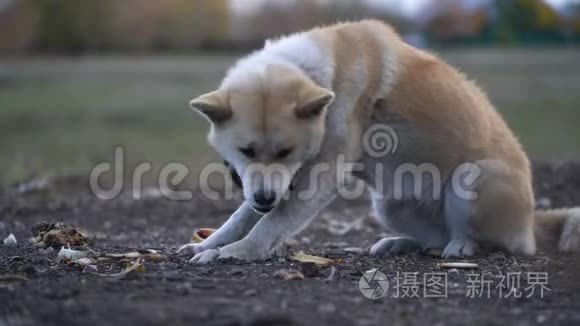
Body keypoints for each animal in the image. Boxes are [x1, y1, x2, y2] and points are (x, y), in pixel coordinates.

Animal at [178, 20, 580, 264]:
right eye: (246, 151)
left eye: (285, 151)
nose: (264, 198)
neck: (328, 77)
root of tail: (532, 221)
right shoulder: (271, 186)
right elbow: (240, 217)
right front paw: (210, 243)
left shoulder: (316, 177)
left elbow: (271, 224)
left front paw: (237, 252)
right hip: (388, 202)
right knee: (433, 238)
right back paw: (401, 243)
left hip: (472, 179)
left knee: (489, 241)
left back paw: (463, 246)